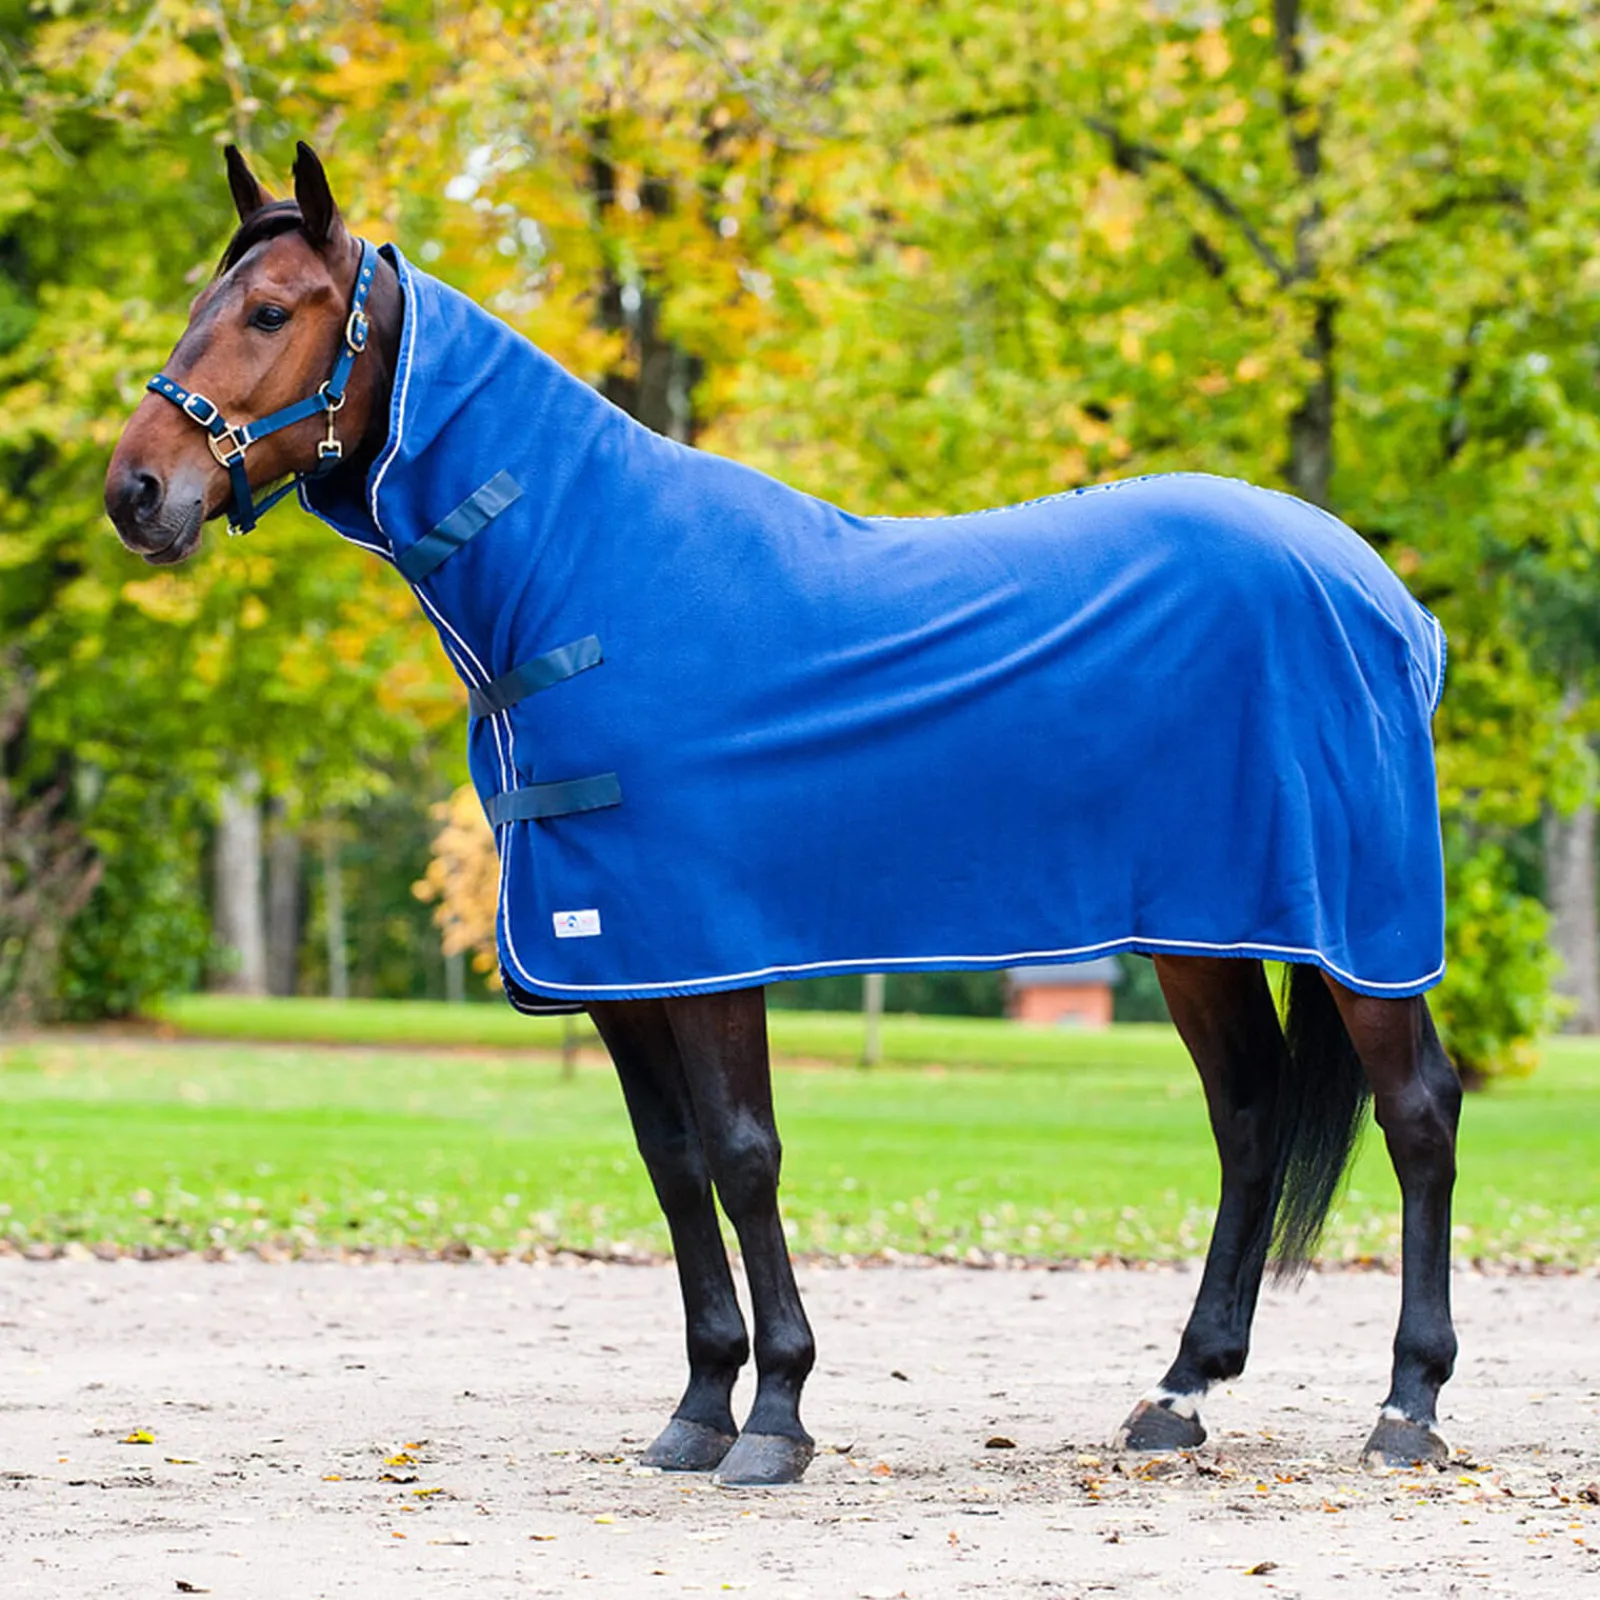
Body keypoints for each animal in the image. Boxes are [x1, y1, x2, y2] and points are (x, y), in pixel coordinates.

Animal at [105, 142, 1463, 1488]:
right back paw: (1180, 1391)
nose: (137, 491)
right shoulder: (617, 960)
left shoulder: (710, 950)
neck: (593, 574)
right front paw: (699, 1405)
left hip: (1359, 930)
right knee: (1248, 1119)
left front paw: (776, 1416)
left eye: (270, 312)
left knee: (1418, 1111)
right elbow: (672, 1161)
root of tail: (1384, 595)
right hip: (1201, 932)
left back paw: (1407, 1404)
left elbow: (743, 1153)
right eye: (201, 304)